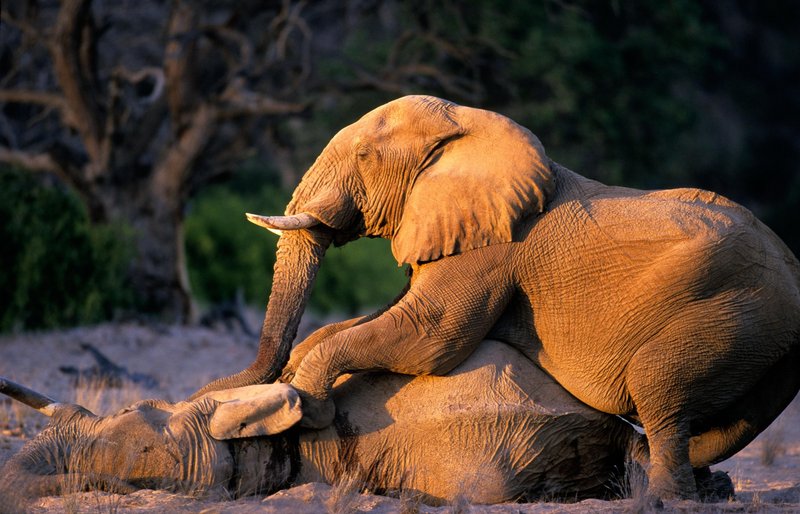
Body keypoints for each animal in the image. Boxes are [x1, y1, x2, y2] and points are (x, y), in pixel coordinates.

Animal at [194, 94, 800, 498]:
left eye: (365, 155)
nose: (205, 392)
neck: (468, 126)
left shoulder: (496, 245)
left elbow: (427, 337)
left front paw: (309, 406)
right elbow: (377, 318)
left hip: (737, 310)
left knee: (657, 383)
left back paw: (662, 501)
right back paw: (705, 488)